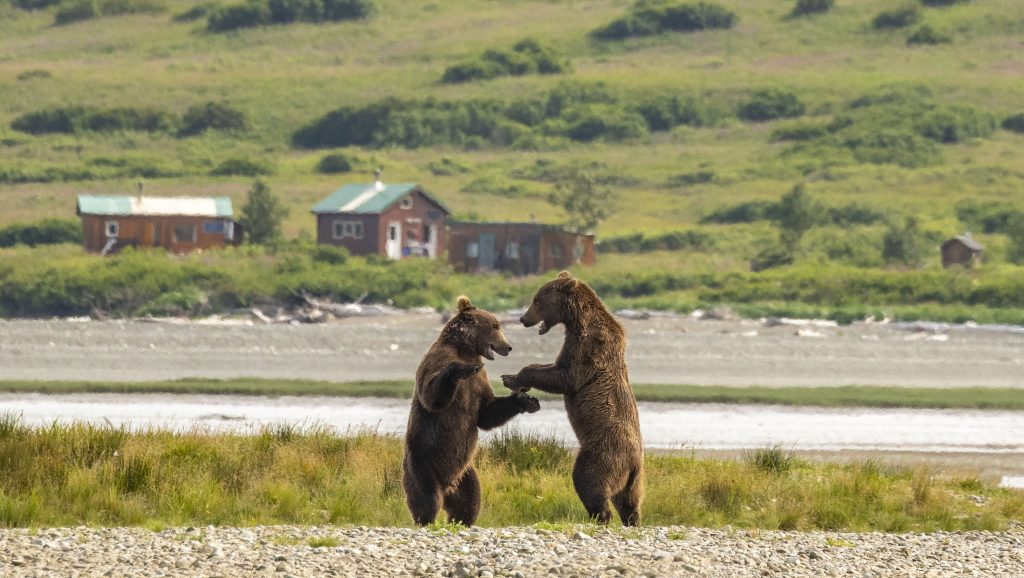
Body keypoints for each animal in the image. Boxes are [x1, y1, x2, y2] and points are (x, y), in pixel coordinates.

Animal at [401, 295, 540, 524]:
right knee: (426, 497)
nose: (508, 346)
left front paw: (527, 400)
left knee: (470, 500)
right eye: (495, 326)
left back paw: (462, 520)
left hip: (465, 472)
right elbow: (432, 396)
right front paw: (459, 370)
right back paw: (426, 520)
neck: (466, 350)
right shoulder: (437, 359)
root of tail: (447, 486)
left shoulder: (480, 381)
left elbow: (486, 413)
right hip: (422, 461)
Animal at [499, 270, 643, 524]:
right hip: (632, 479)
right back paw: (631, 520)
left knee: (588, 480)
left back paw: (599, 516)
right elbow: (552, 367)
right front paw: (512, 378)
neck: (577, 321)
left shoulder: (589, 347)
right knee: (629, 501)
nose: (523, 319)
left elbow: (565, 376)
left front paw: (513, 378)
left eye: (537, 300)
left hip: (603, 453)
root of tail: (634, 462)